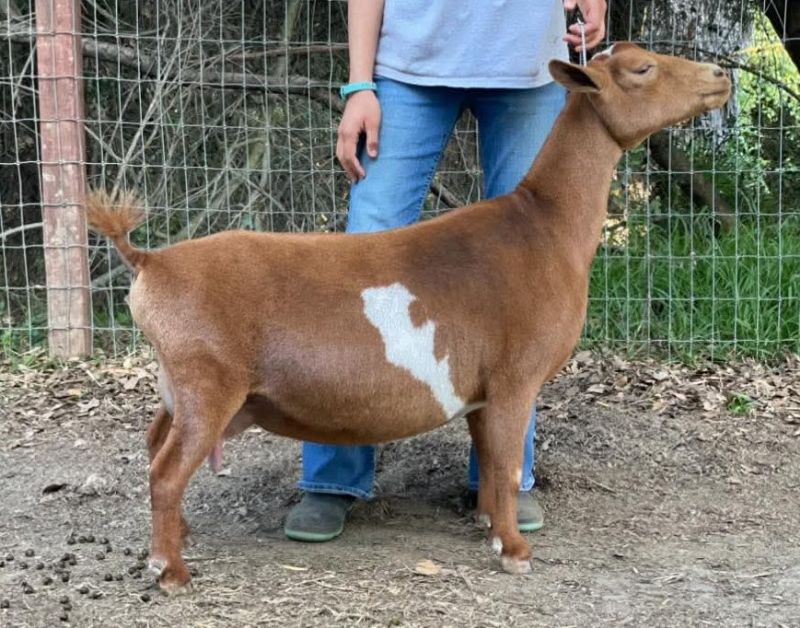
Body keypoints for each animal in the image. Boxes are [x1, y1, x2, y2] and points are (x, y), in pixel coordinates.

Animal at [86, 43, 730, 593]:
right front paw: (515, 552)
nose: (721, 76)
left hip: (178, 383)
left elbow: (489, 461)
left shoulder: (480, 389)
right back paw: (171, 571)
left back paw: (180, 537)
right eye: (643, 68)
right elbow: (503, 463)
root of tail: (152, 262)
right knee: (167, 470)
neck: (544, 228)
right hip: (208, 378)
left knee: (153, 446)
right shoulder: (515, 377)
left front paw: (491, 528)